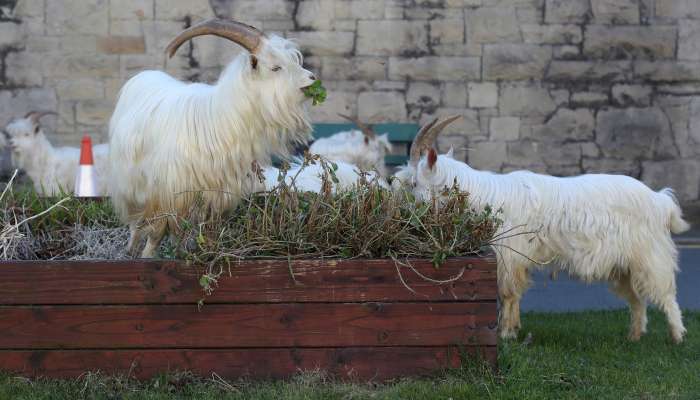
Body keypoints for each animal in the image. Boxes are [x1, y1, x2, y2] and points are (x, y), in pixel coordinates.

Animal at [410, 115, 688, 344]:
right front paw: (514, 330)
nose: (406, 207)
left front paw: (506, 334)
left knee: (666, 294)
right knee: (637, 300)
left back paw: (677, 337)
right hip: (624, 264)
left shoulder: (509, 255)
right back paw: (634, 336)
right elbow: (515, 294)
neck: (485, 196)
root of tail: (660, 200)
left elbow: (508, 293)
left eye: (414, 182)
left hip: (650, 256)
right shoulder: (515, 259)